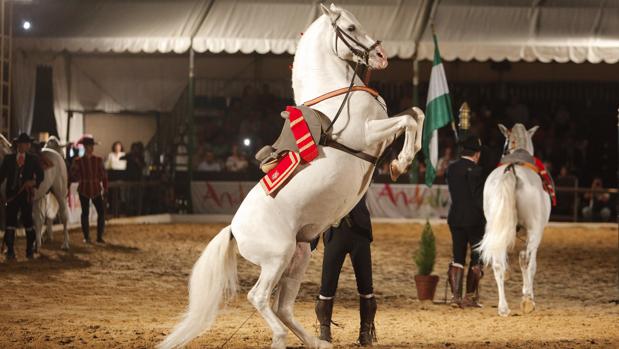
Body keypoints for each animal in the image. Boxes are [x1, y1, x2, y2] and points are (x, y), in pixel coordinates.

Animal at [160, 3, 426, 348]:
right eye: (351, 28)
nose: (381, 56)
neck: (335, 94)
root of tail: (234, 230)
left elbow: (416, 114)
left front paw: (402, 160)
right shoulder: (369, 133)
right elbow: (409, 121)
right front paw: (401, 163)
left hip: (298, 256)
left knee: (283, 306)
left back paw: (316, 342)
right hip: (278, 257)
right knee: (259, 297)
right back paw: (279, 337)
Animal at [480, 122, 552, 316]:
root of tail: (511, 170)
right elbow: (530, 264)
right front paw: (528, 296)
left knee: (498, 263)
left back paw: (503, 307)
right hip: (535, 230)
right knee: (526, 259)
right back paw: (526, 301)